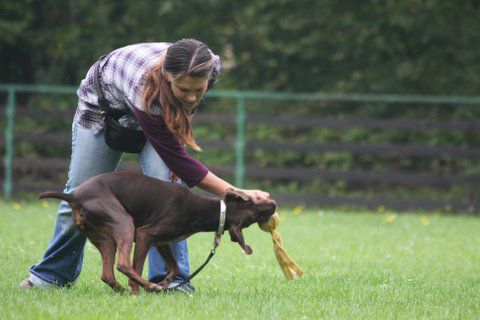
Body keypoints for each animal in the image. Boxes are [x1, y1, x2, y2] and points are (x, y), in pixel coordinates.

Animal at [39, 171, 276, 294]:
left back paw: (124, 290)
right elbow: (136, 269)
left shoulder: (161, 241)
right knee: (123, 265)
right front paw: (142, 292)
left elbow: (175, 266)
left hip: (105, 238)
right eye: (254, 206)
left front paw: (165, 283)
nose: (274, 203)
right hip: (124, 223)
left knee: (107, 273)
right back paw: (147, 287)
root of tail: (74, 197)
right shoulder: (145, 235)